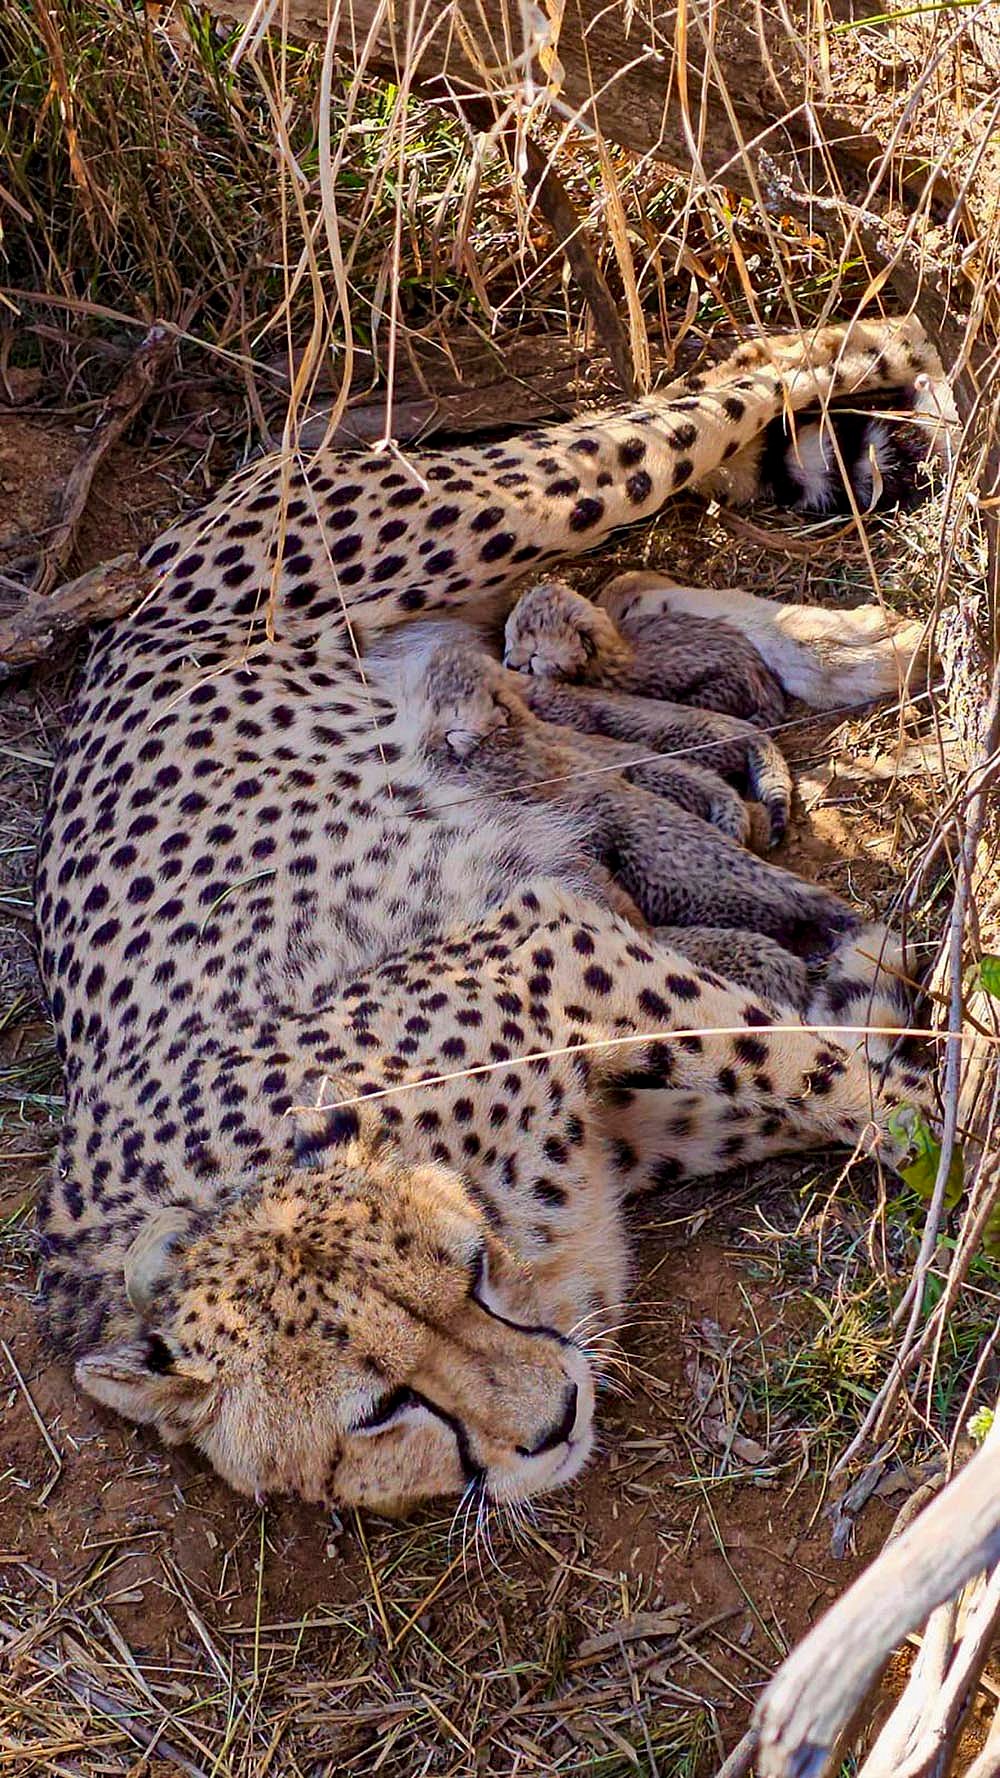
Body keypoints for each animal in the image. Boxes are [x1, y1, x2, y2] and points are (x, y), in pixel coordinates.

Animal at [35, 316, 946, 1519]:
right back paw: (849, 651)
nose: (554, 1420)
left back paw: (908, 372)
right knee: (640, 583)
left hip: (512, 502)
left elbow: (836, 1078)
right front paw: (873, 1003)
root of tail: (153, 564)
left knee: (760, 373)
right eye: (379, 1412)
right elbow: (825, 1066)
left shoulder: (558, 950)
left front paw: (968, 1134)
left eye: (467, 1273)